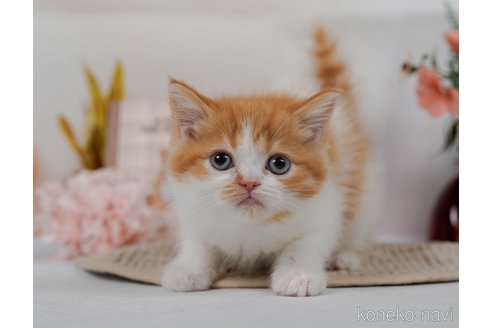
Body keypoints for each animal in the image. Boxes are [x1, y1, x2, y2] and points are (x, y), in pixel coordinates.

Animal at [160, 27, 372, 298]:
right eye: (220, 160)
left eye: (279, 164)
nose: (249, 183)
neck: (249, 227)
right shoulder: (192, 209)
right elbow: (198, 243)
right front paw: (187, 269)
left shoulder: (325, 208)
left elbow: (304, 244)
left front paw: (298, 276)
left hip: (364, 196)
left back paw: (346, 257)